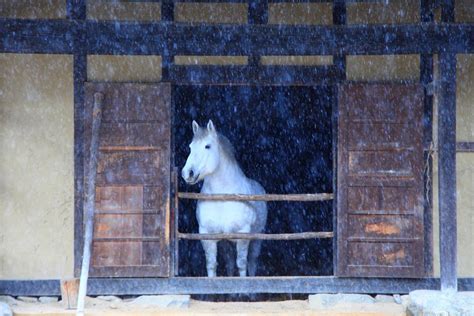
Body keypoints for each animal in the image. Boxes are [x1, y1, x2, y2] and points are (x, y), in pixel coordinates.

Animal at [181, 120, 266, 276]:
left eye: (207, 146)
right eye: (190, 147)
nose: (188, 173)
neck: (222, 198)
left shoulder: (243, 234)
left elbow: (242, 265)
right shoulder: (207, 235)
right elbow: (212, 265)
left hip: (257, 238)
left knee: (252, 262)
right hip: (226, 242)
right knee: (230, 263)